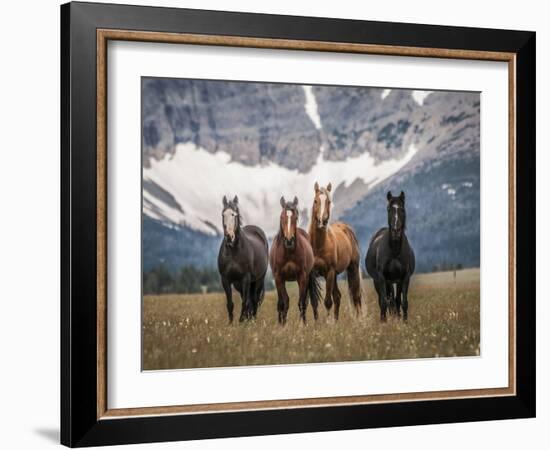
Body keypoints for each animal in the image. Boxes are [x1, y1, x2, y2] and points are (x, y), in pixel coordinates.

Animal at [270, 196, 324, 324]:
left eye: (296, 217)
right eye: (282, 217)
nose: (289, 240)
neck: (289, 252)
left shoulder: (302, 277)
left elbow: (302, 302)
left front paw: (302, 324)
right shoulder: (279, 278)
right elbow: (284, 302)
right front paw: (283, 325)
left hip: (309, 277)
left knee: (312, 301)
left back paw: (316, 322)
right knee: (280, 302)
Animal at [308, 183, 364, 320]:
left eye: (329, 201)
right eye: (315, 201)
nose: (322, 221)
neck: (318, 245)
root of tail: (347, 229)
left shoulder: (330, 271)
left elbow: (328, 301)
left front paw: (329, 322)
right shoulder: (311, 274)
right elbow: (313, 301)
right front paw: (317, 324)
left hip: (352, 268)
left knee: (356, 295)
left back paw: (359, 321)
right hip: (335, 275)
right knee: (338, 296)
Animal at [368, 192, 416, 322]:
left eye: (402, 209)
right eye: (389, 209)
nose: (396, 231)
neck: (394, 250)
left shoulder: (404, 277)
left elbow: (403, 302)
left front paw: (404, 321)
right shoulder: (382, 278)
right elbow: (384, 302)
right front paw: (383, 321)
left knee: (395, 300)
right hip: (379, 281)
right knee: (385, 300)